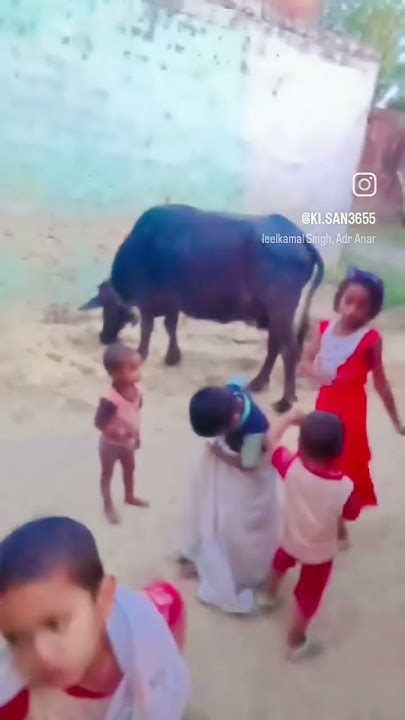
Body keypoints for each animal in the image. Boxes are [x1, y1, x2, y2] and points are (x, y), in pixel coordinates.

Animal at [81, 205, 324, 412]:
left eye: (108, 307)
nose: (104, 336)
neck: (145, 246)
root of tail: (300, 237)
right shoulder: (172, 303)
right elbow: (170, 326)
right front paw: (173, 356)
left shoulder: (151, 300)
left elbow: (150, 328)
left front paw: (143, 354)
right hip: (274, 315)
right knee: (275, 346)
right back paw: (258, 382)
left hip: (280, 310)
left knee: (290, 350)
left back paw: (285, 401)